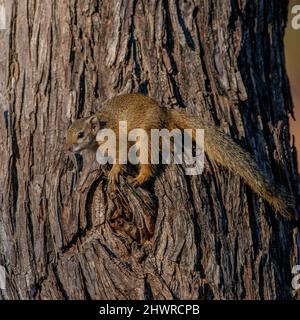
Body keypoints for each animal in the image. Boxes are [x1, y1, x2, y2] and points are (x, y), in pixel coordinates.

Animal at [65, 91, 292, 219]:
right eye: (67, 133)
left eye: (80, 134)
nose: (68, 148)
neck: (99, 134)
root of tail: (164, 113)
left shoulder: (116, 140)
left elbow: (120, 156)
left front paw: (114, 172)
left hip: (146, 135)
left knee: (149, 160)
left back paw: (140, 177)